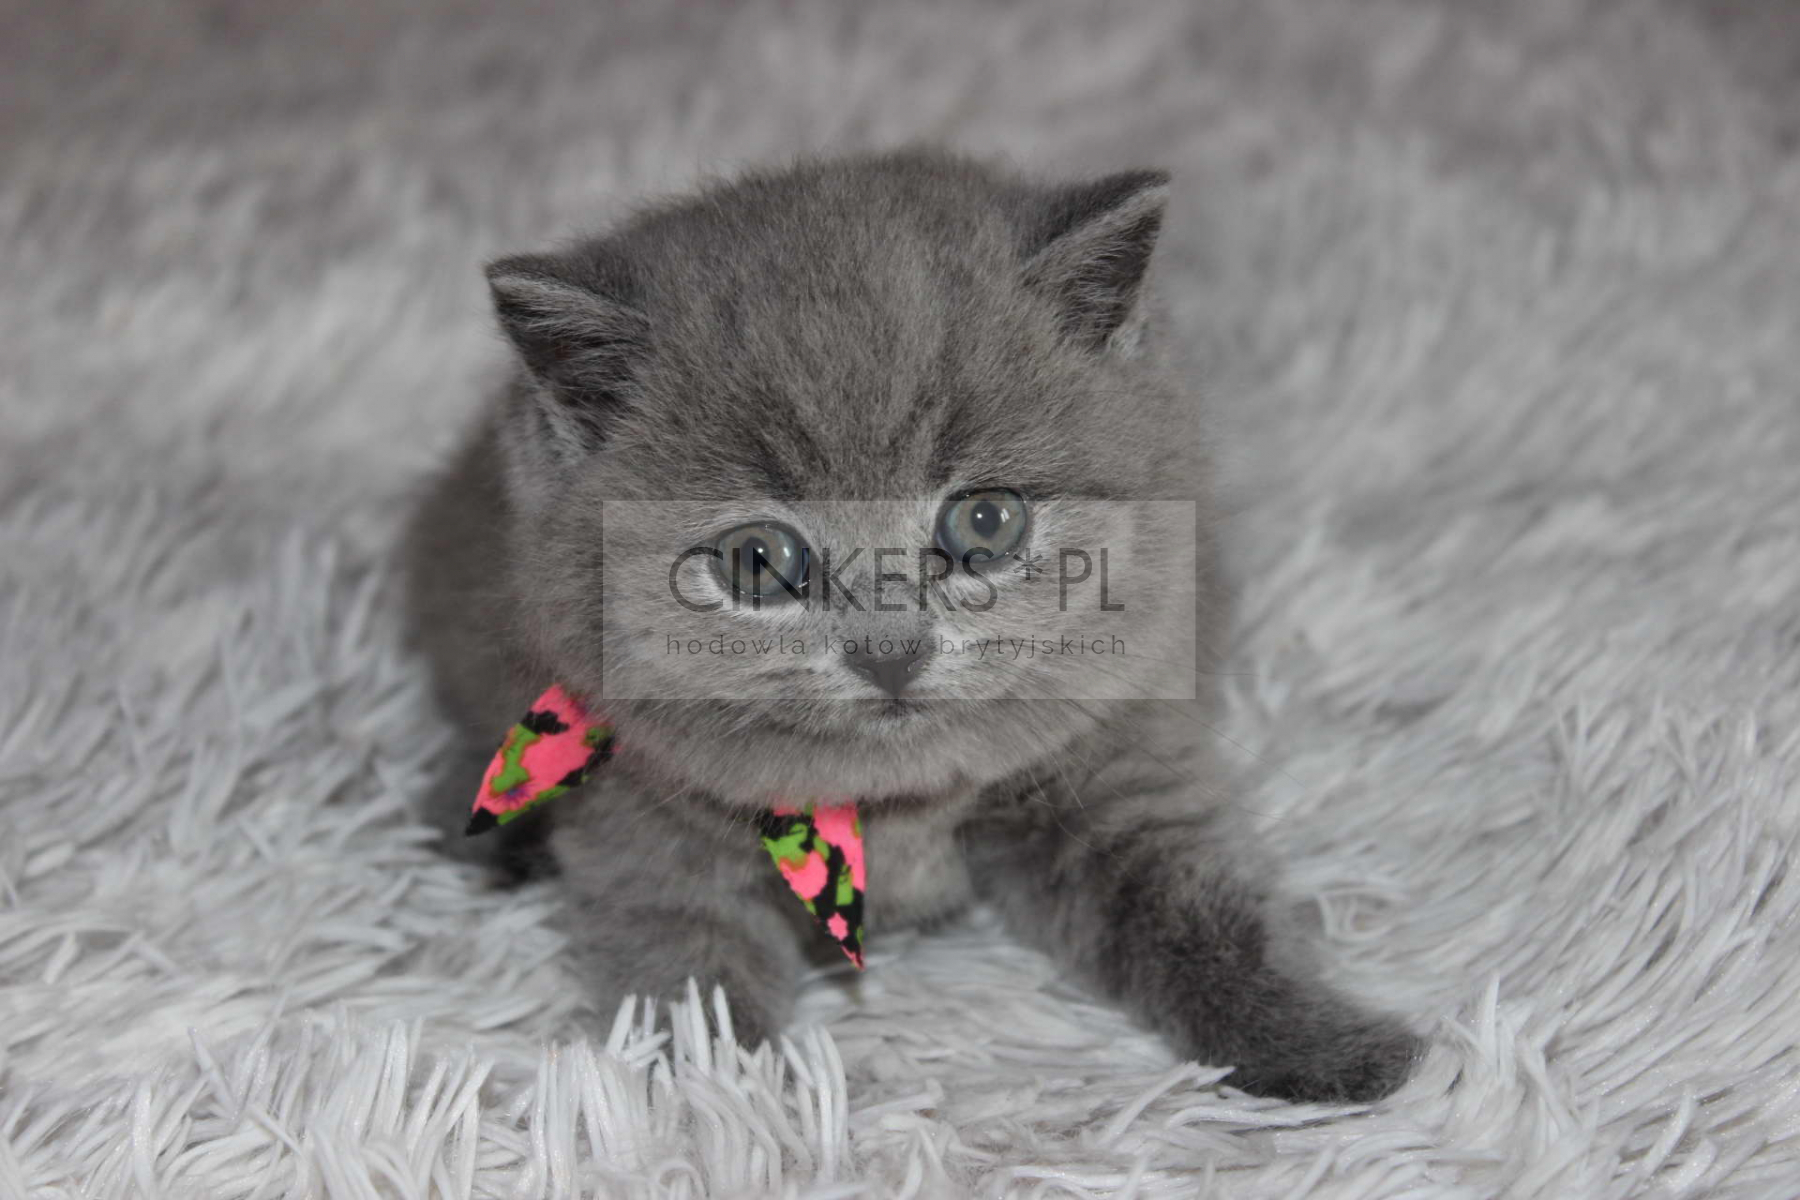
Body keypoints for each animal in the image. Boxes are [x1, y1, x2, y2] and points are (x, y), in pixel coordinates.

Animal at [403, 149, 1422, 1102]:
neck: (896, 802)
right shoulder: (646, 832)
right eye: (757, 561)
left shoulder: (1120, 757)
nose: (889, 653)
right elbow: (691, 983)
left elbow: (1204, 916)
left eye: (987, 522)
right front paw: (726, 1111)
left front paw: (1327, 1043)